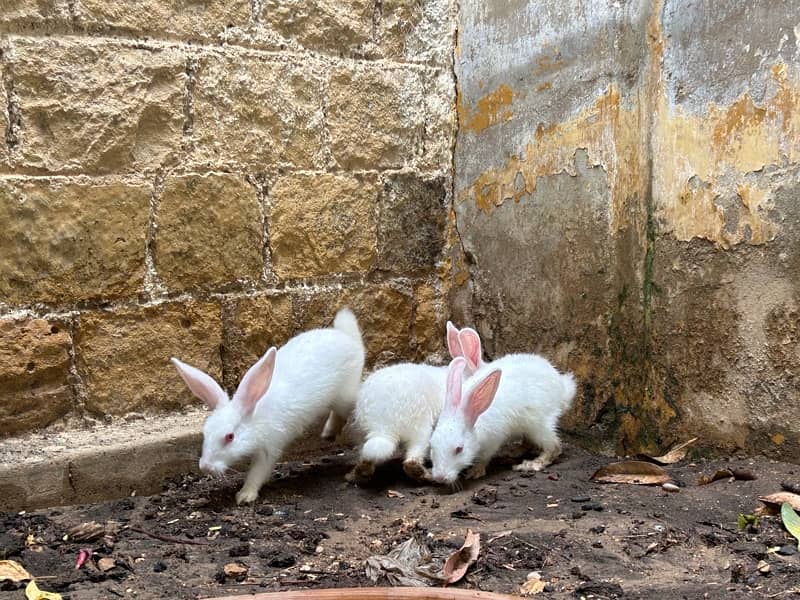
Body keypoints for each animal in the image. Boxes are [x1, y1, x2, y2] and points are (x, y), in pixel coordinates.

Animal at [173, 308, 368, 504]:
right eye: (205, 433)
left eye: (230, 437)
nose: (205, 467)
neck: (254, 417)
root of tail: (347, 337)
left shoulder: (269, 447)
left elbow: (258, 472)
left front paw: (245, 495)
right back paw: (328, 434)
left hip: (344, 395)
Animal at [344, 318, 482, 482]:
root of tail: (382, 426)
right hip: (420, 429)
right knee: (411, 461)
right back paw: (425, 474)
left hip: (360, 432)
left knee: (366, 457)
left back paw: (355, 474)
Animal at [432, 328, 576, 488]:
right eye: (432, 446)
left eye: (459, 449)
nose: (439, 477)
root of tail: (563, 387)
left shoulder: (493, 441)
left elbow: (484, 458)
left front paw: (475, 472)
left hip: (539, 425)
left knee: (554, 447)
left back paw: (531, 464)